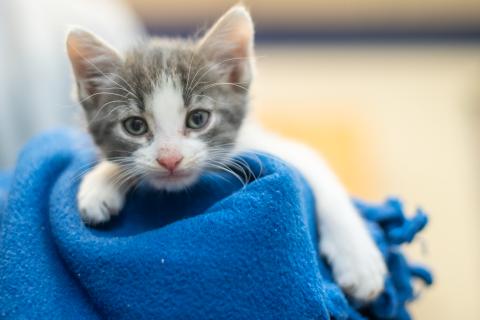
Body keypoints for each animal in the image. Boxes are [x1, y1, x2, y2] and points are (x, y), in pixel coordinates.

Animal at [65, 5, 386, 302]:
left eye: (198, 119)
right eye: (135, 126)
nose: (170, 159)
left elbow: (320, 173)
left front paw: (359, 262)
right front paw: (100, 184)